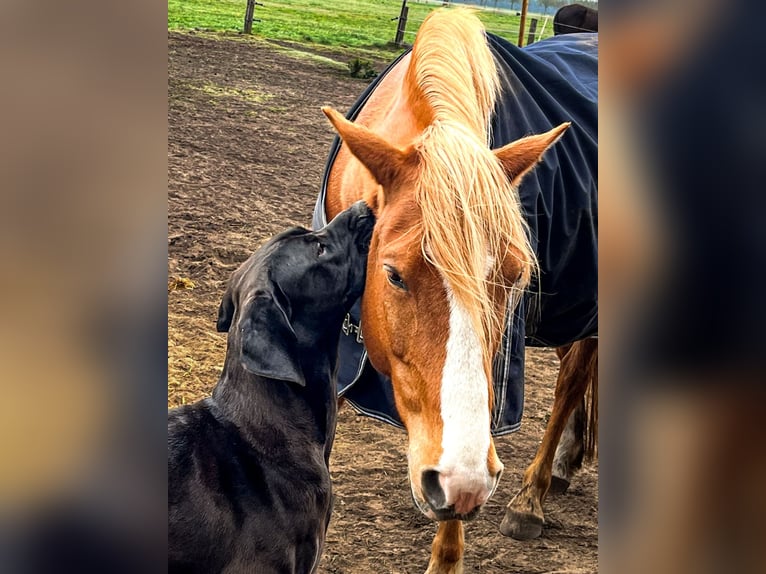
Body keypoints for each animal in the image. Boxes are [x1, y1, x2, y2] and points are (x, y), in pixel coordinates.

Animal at [319, 9, 597, 573]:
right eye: (393, 274)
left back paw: (531, 497)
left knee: (572, 379)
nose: (466, 480)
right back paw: (564, 466)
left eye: (515, 276)